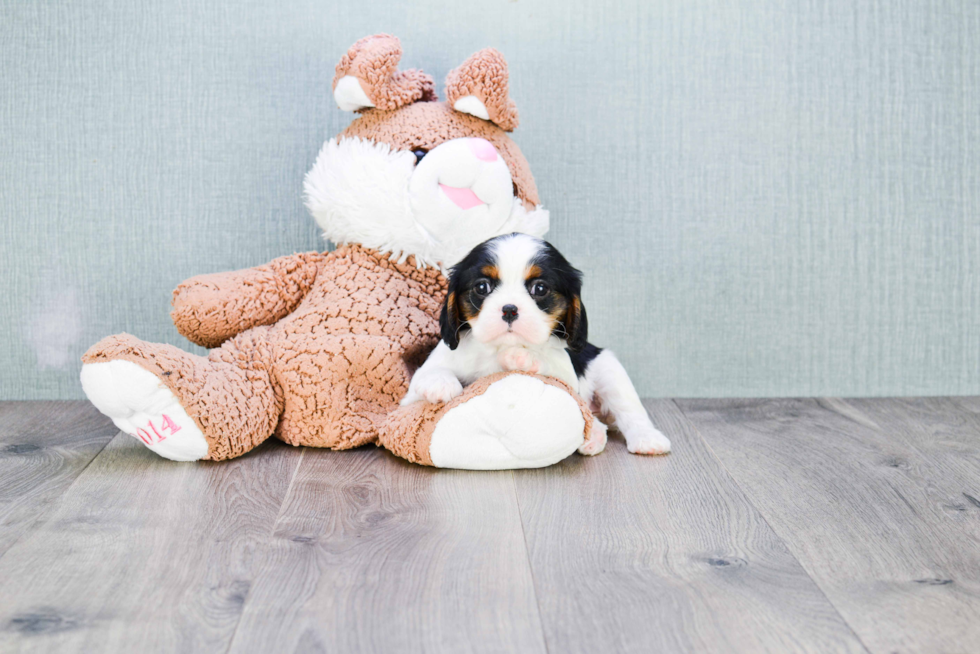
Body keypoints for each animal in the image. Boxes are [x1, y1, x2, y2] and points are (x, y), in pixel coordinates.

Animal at [402, 233, 668, 458]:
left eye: (540, 288)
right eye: (481, 287)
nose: (509, 309)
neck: (498, 348)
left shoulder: (567, 375)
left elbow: (550, 366)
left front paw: (522, 358)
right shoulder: (409, 397)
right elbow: (427, 376)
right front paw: (439, 383)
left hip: (609, 369)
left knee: (630, 411)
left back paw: (645, 439)